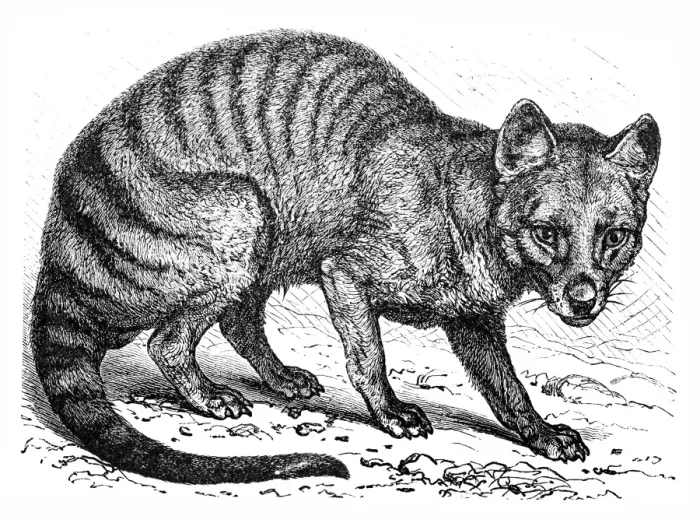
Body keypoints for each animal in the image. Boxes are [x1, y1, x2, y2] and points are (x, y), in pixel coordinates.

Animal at [30, 29, 660, 484]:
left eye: (614, 236)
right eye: (546, 232)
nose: (583, 299)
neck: (466, 203)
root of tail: (59, 248)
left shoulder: (473, 315)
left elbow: (505, 385)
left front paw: (540, 431)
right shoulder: (347, 273)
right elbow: (368, 357)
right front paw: (390, 411)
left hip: (266, 246)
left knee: (238, 319)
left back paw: (281, 377)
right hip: (241, 212)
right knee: (168, 340)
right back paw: (209, 395)